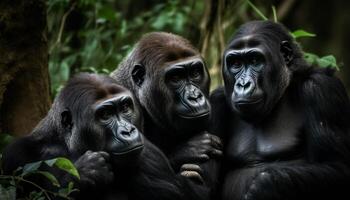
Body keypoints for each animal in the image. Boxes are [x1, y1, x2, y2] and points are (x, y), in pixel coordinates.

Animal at [2, 73, 211, 200]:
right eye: (105, 115)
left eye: (125, 107)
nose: (128, 131)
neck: (68, 145)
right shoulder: (15, 156)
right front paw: (86, 172)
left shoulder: (148, 154)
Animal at [209, 20, 350, 200]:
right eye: (236, 64)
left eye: (255, 60)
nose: (243, 84)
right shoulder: (216, 102)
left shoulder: (322, 88)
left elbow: (338, 166)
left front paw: (266, 185)